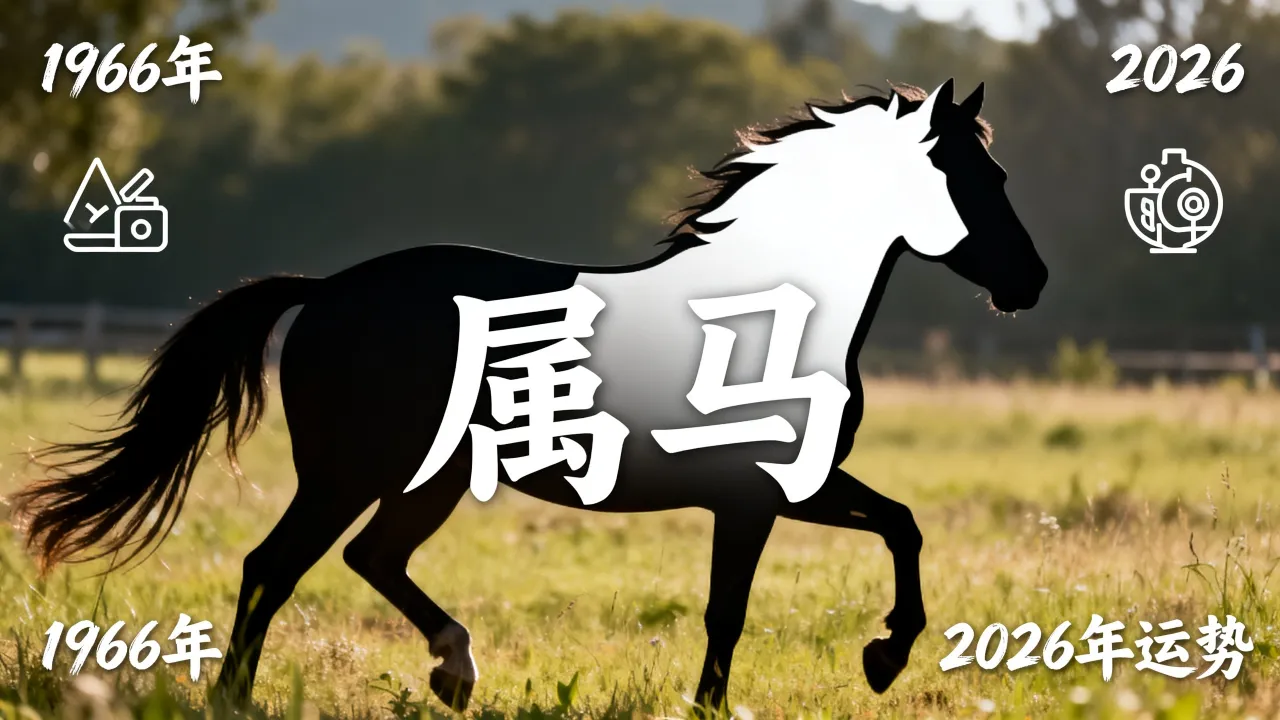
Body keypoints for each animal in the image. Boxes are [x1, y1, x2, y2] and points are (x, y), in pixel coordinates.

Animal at [11, 78, 1047, 714]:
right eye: (976, 175)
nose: (1029, 282)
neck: (767, 311)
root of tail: (329, 289)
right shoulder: (753, 496)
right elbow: (732, 610)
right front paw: (836, 671)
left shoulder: (794, 485)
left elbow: (902, 524)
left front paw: (881, 657)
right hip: (351, 472)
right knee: (276, 565)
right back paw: (247, 695)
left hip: (422, 478)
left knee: (367, 558)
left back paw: (454, 671)